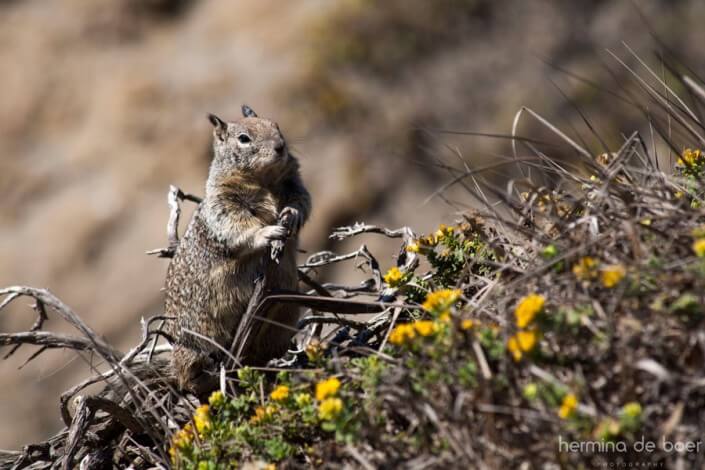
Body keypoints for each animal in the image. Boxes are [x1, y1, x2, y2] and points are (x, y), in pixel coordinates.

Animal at [165, 105, 310, 396]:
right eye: (244, 138)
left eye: (275, 125)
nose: (280, 146)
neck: (264, 180)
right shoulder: (224, 204)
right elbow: (237, 226)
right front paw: (267, 233)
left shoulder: (294, 182)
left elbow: (302, 200)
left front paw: (292, 214)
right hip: (195, 346)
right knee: (186, 378)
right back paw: (206, 380)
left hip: (282, 317)